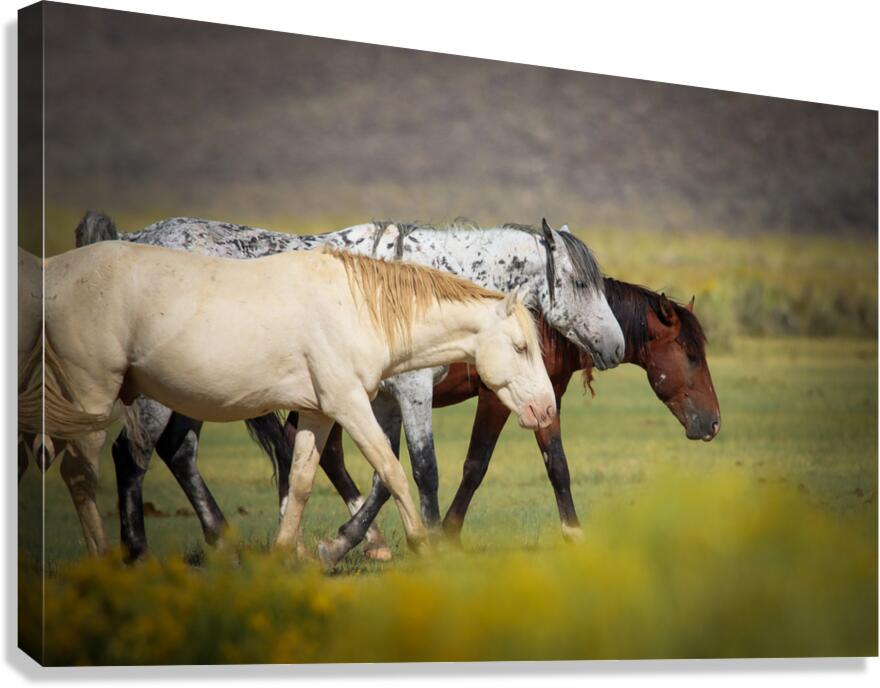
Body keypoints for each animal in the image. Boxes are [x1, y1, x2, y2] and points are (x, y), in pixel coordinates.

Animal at [73, 212, 623, 561]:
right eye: (580, 283)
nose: (616, 346)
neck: (420, 283)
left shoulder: (384, 401)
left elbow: (383, 473)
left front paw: (343, 544)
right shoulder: (413, 393)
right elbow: (422, 469)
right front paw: (428, 542)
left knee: (178, 452)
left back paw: (225, 541)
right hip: (156, 398)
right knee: (131, 457)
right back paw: (137, 552)